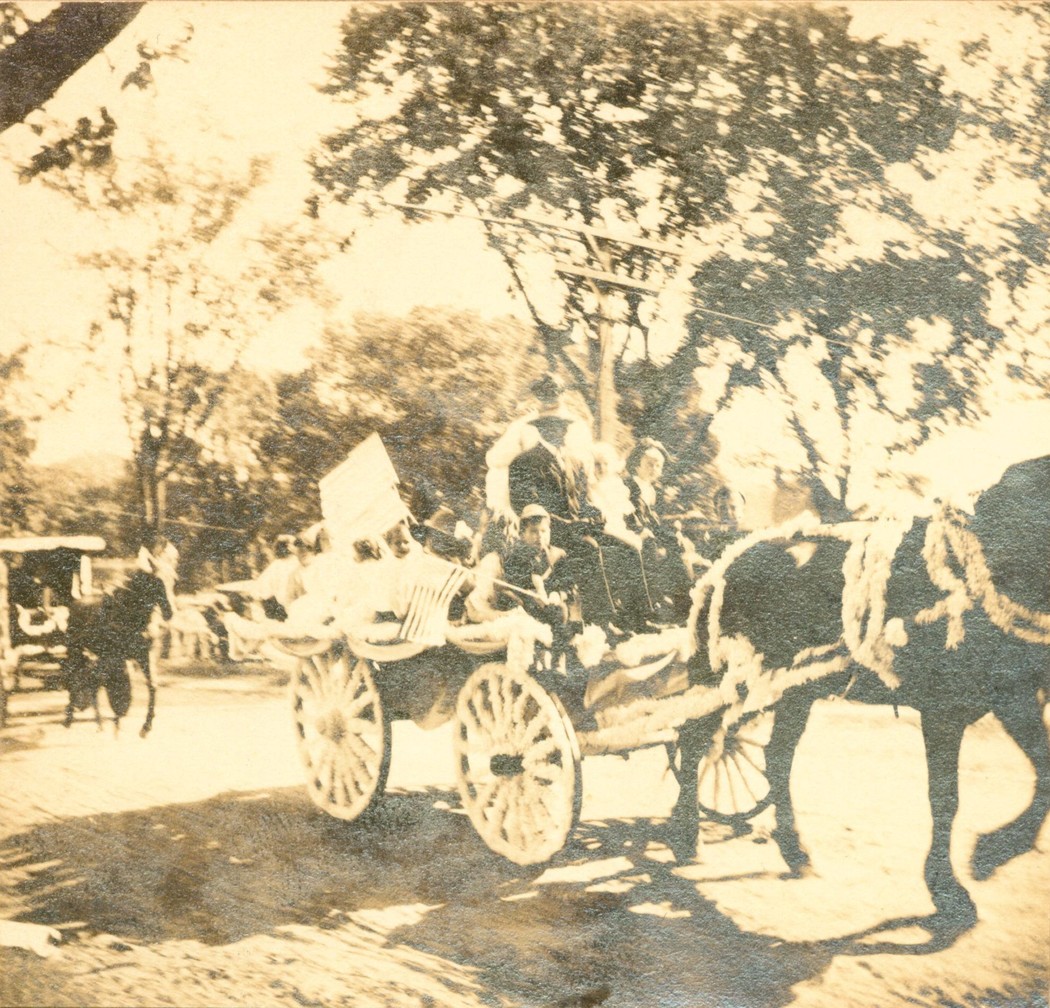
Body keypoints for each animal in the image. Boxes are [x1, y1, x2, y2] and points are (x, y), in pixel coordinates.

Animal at [63, 567, 173, 739]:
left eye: (162, 585)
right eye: (151, 588)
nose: (168, 611)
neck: (127, 618)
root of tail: (76, 603)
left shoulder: (142, 656)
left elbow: (151, 686)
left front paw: (146, 726)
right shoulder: (115, 658)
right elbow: (115, 687)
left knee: (89, 680)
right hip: (75, 650)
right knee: (75, 676)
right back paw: (71, 717)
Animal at [667, 457, 1050, 936]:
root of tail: (724, 561)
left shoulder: (1017, 698)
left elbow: (1043, 773)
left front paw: (994, 851)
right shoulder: (945, 711)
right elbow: (946, 798)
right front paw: (951, 885)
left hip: (796, 688)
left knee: (775, 756)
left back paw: (793, 849)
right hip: (721, 674)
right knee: (694, 742)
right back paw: (685, 834)